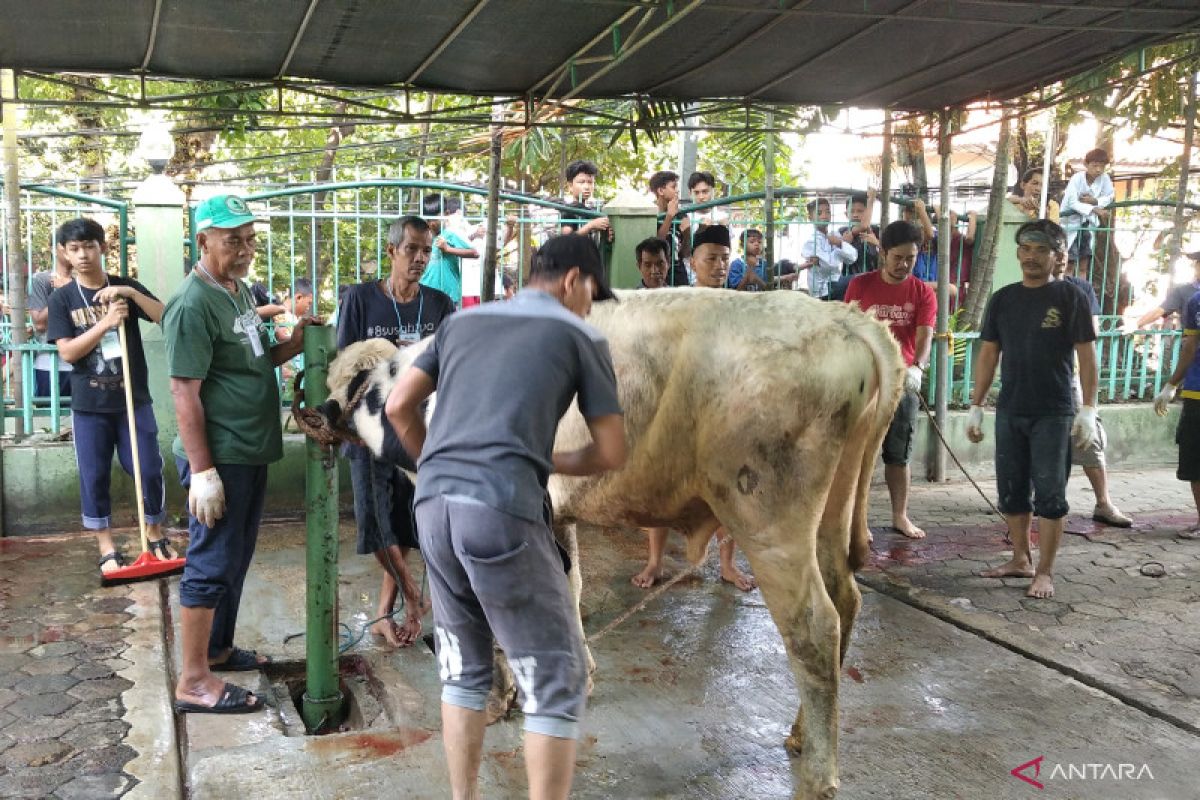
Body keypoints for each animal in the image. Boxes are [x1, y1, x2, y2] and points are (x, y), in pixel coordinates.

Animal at [319, 289, 902, 800]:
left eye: (349, 386)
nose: (316, 414)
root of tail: (844, 319)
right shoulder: (553, 514)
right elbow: (570, 588)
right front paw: (579, 677)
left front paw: (500, 699)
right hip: (830, 511)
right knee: (846, 598)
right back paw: (801, 733)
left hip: (769, 518)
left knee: (813, 627)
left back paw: (816, 776)